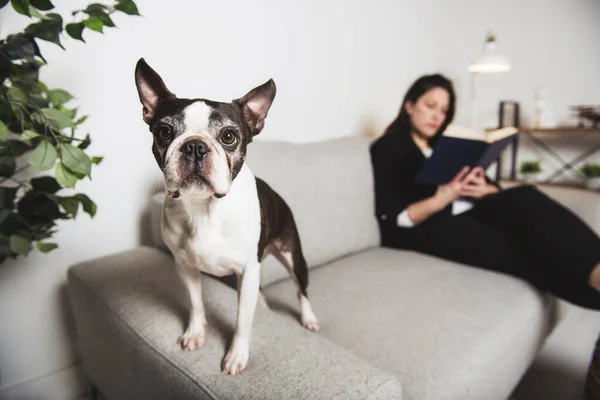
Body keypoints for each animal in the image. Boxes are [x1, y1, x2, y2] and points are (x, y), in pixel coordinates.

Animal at [134, 58, 322, 376]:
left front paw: (236, 356)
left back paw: (309, 318)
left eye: (228, 137)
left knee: (302, 290)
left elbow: (242, 320)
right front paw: (195, 333)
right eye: (164, 132)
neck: (205, 209)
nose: (194, 145)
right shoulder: (185, 266)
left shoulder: (247, 270)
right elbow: (196, 303)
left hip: (293, 255)